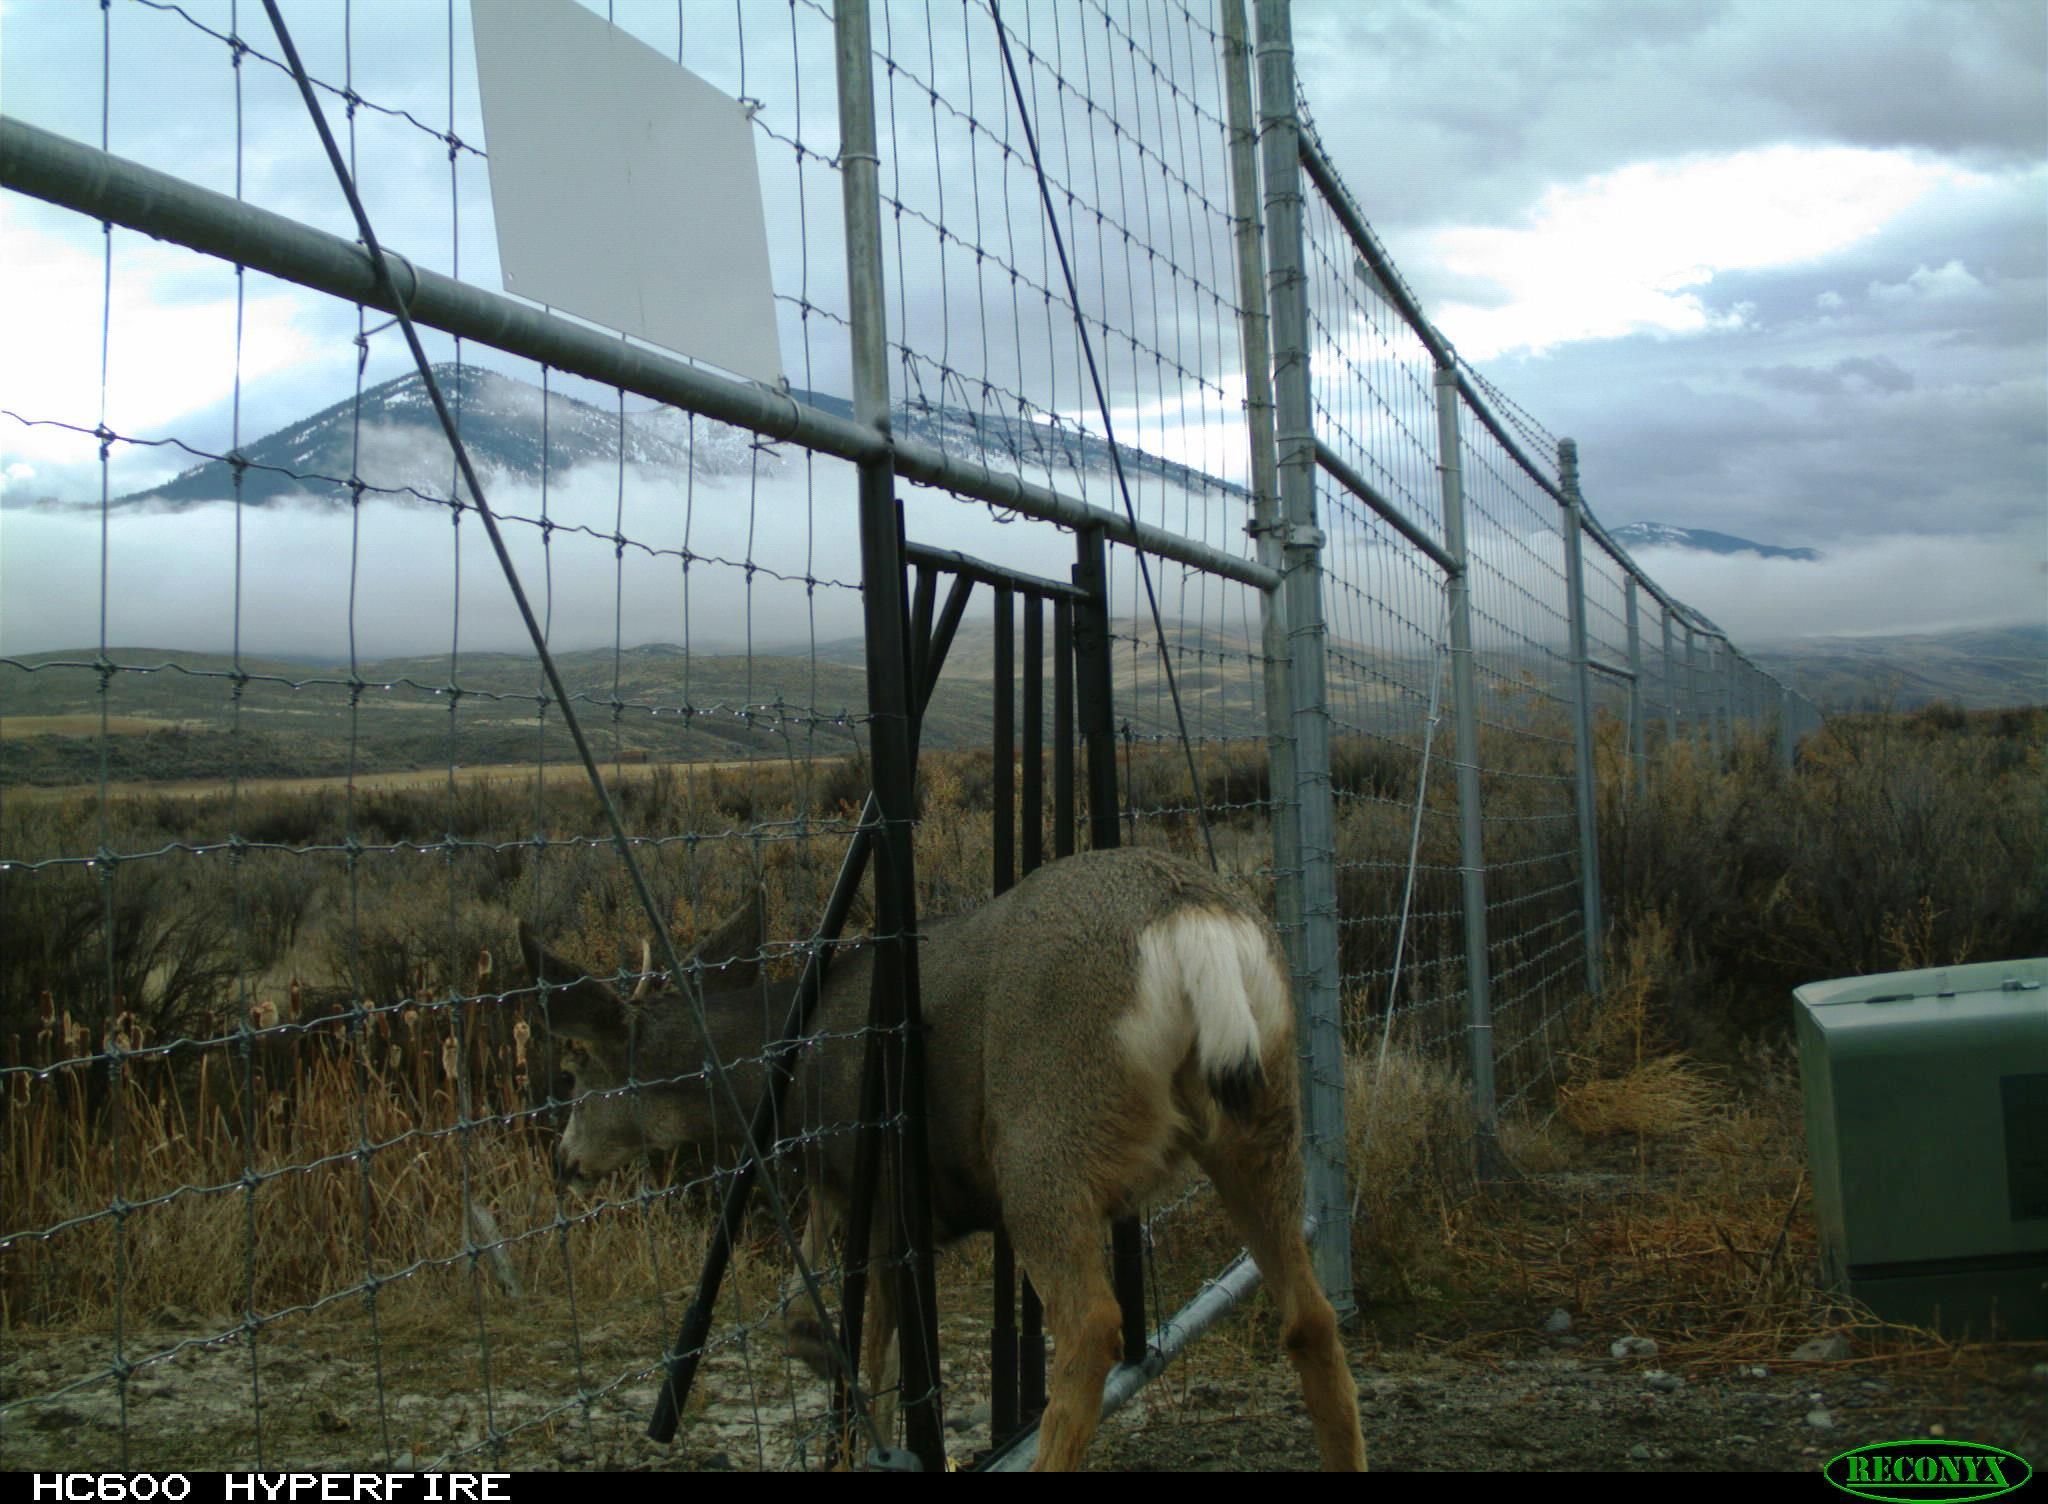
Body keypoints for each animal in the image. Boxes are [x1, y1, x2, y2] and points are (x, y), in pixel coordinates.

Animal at [518, 846, 1366, 1472]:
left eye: (576, 1070)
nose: (562, 1161)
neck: (787, 1073)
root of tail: (1194, 926)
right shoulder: (882, 1210)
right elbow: (853, 1341)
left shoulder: (873, 1188)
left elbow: (849, 1348)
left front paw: (850, 1412)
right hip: (1262, 1121)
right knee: (1310, 1316)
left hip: (1044, 1134)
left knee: (1092, 1325)